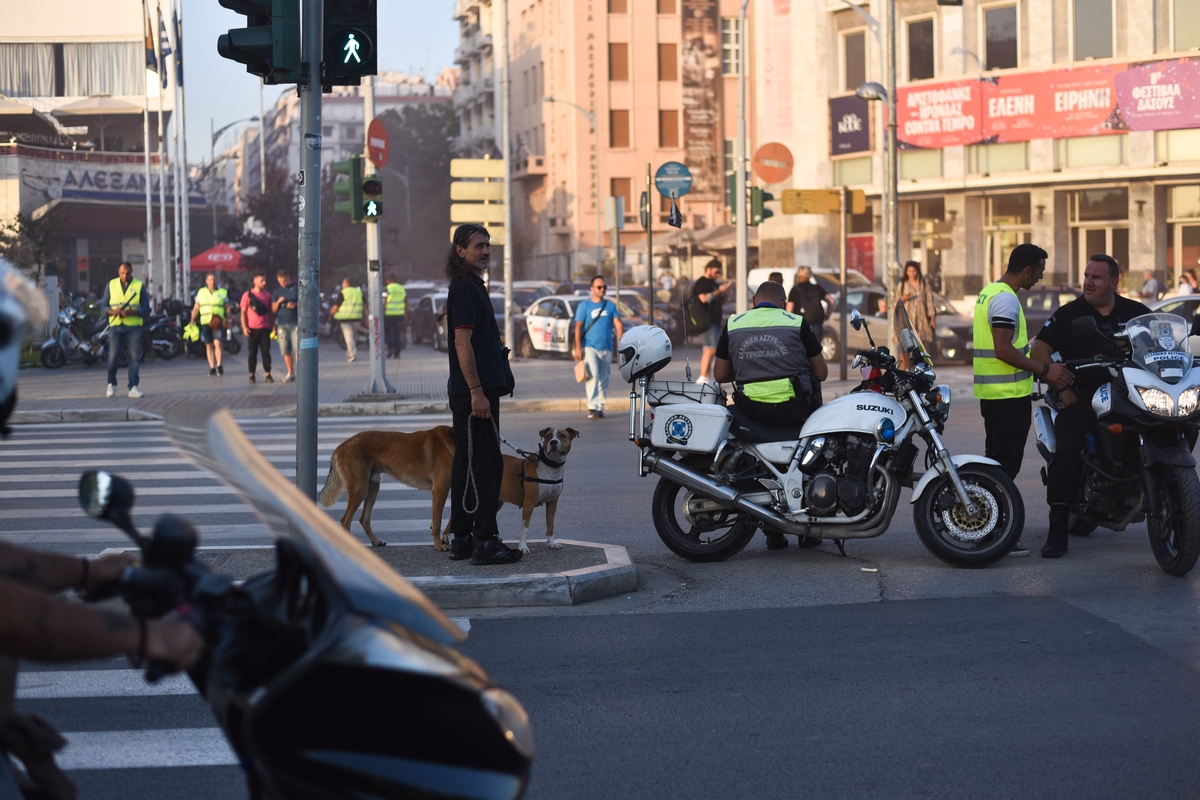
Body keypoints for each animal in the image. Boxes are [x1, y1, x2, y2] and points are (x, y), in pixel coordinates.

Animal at [319, 424, 453, 551]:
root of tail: (340, 446)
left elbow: (443, 520)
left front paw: (444, 538)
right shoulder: (440, 491)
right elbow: (437, 524)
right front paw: (438, 545)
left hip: (373, 488)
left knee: (364, 519)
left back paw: (375, 541)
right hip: (360, 490)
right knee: (345, 521)